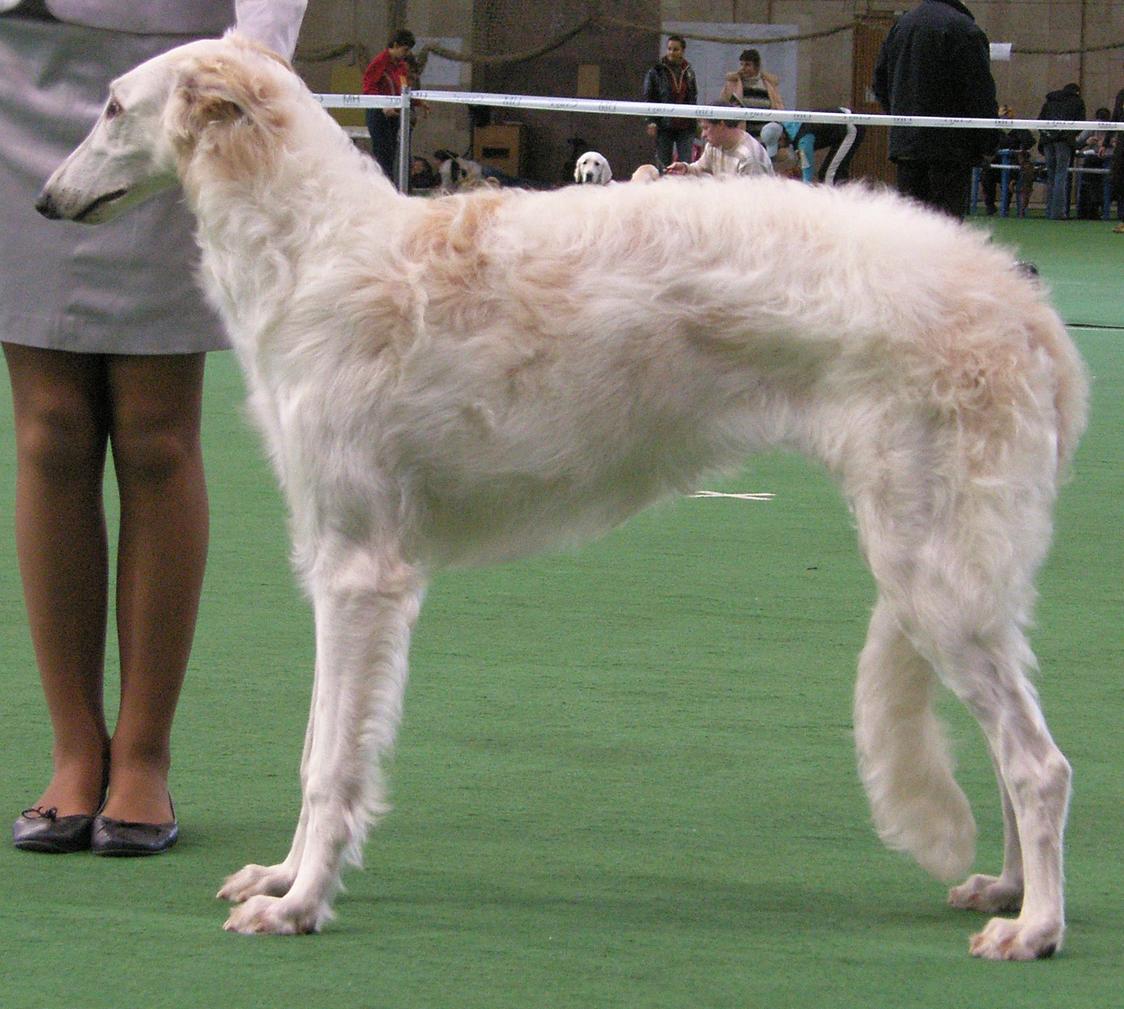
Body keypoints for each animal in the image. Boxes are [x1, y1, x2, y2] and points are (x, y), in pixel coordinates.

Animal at [37, 35, 1088, 957]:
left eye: (112, 106)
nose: (46, 201)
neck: (318, 248)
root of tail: (1028, 306)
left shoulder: (360, 571)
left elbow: (331, 761)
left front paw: (301, 904)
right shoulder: (330, 557)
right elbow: (311, 750)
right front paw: (283, 876)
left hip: (932, 569)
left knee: (1041, 764)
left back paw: (1036, 925)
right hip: (963, 574)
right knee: (1013, 752)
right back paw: (1005, 888)